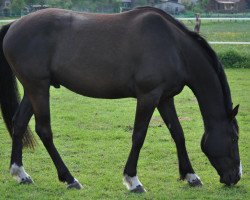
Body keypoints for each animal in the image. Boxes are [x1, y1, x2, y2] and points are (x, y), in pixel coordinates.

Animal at [0, 7, 242, 193]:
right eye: (233, 138)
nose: (235, 177)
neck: (173, 46)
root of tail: (14, 25)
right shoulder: (148, 96)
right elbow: (139, 136)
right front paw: (133, 181)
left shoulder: (165, 98)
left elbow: (178, 134)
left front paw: (191, 176)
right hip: (38, 87)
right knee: (44, 130)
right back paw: (70, 179)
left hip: (34, 89)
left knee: (19, 124)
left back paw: (21, 173)